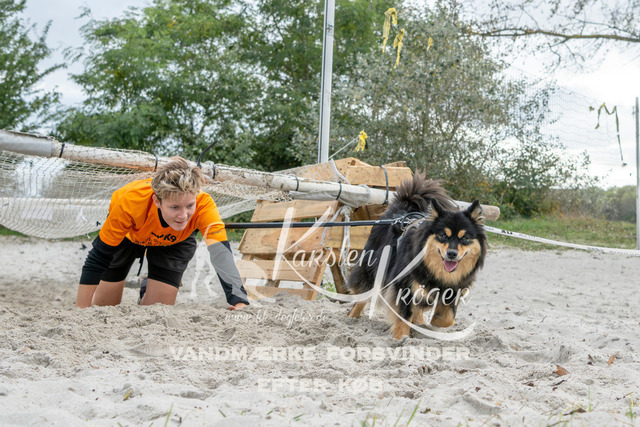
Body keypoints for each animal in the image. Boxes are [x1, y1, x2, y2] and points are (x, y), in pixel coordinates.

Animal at [345, 173, 487, 339]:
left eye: (464, 238)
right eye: (442, 235)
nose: (452, 254)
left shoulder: (454, 289)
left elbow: (447, 318)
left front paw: (434, 321)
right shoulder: (403, 286)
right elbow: (404, 316)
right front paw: (401, 338)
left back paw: (420, 322)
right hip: (372, 269)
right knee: (363, 295)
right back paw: (352, 318)